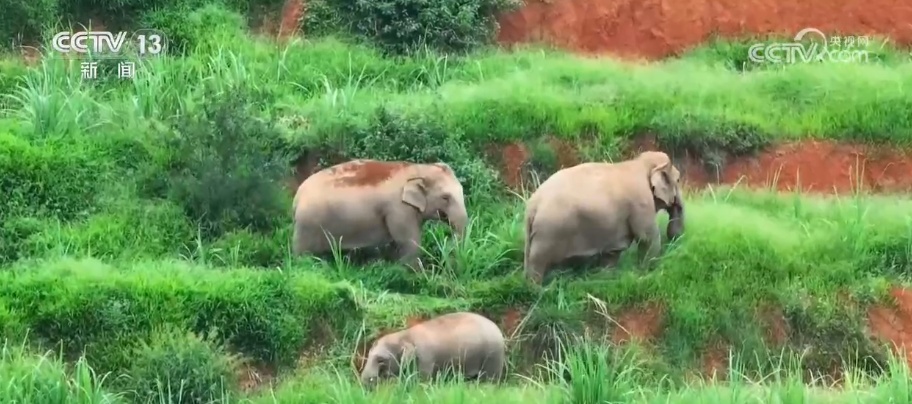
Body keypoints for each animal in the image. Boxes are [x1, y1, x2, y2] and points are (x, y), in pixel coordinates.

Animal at [292, 159, 468, 270]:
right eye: (445, 197)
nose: (447, 260)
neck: (418, 169)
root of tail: (296, 197)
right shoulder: (398, 209)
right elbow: (409, 242)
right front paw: (415, 274)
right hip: (308, 224)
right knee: (303, 254)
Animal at [360, 311, 506, 388]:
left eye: (381, 360)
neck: (404, 335)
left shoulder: (425, 357)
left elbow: (421, 380)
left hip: (493, 354)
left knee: (489, 380)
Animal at [523, 151, 685, 284]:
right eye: (678, 180)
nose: (675, 238)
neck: (641, 163)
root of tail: (533, 206)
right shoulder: (641, 202)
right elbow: (648, 239)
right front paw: (647, 274)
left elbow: (613, 252)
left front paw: (605, 278)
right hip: (548, 232)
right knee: (538, 260)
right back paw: (537, 289)